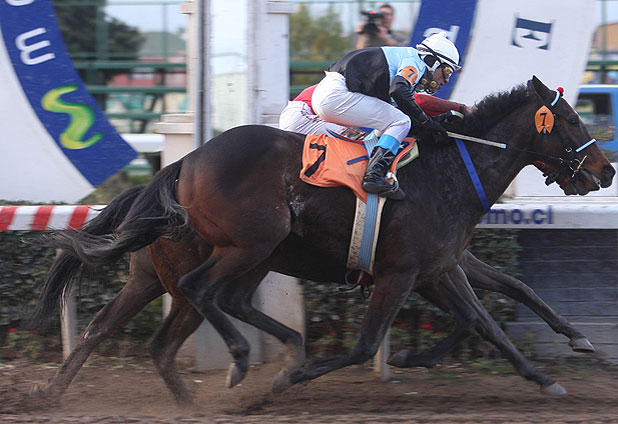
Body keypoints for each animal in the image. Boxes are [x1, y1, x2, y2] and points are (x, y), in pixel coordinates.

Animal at [40, 76, 614, 400]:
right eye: (569, 118)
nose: (605, 171)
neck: (450, 167)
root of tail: (183, 163)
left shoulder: (443, 263)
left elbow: (501, 305)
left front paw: (559, 360)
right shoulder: (404, 272)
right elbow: (368, 343)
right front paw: (292, 379)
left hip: (181, 269)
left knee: (120, 327)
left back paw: (59, 393)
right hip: (245, 247)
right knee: (199, 296)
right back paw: (243, 362)